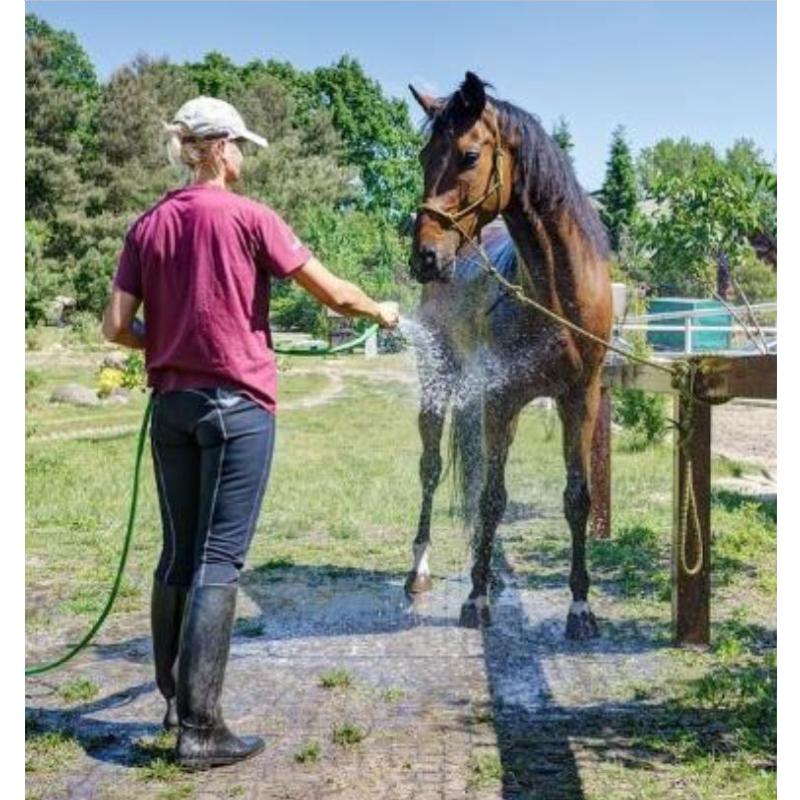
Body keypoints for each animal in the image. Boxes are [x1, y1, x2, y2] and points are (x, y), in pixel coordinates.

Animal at [406, 72, 612, 640]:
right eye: (424, 155)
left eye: (470, 156)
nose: (425, 257)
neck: (555, 300)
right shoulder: (501, 400)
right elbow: (491, 497)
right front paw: (475, 599)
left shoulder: (578, 402)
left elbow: (577, 498)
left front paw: (580, 607)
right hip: (439, 388)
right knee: (431, 469)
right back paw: (419, 570)